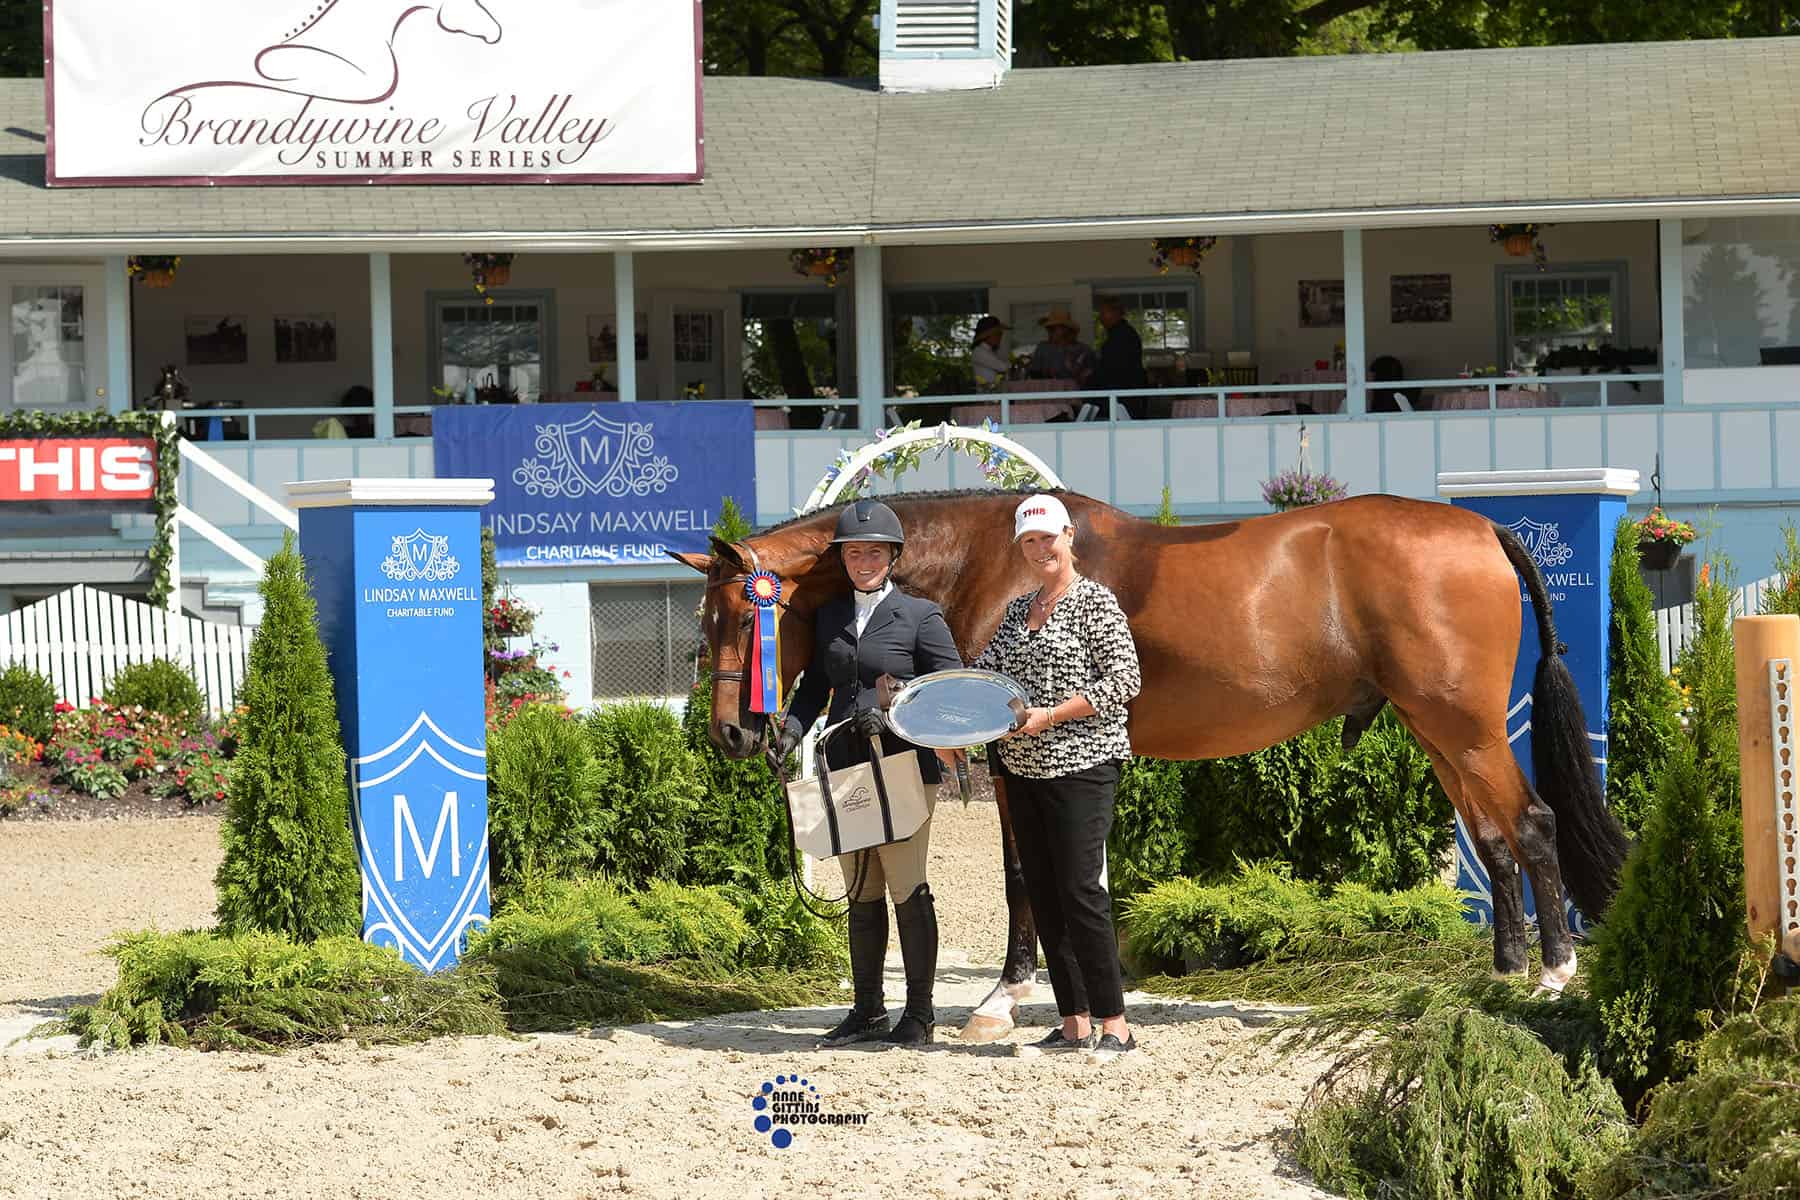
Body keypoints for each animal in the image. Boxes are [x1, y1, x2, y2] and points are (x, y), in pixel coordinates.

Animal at [673, 489, 1629, 1039]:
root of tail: (1485, 526)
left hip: (1463, 726)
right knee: (1491, 836)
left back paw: (1551, 977)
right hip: (1438, 731)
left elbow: (1023, 877)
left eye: (740, 616)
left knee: (1530, 824)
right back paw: (1502, 974)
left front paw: (1003, 1000)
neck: (991, 558)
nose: (731, 736)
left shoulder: (1013, 755)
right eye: (707, 618)